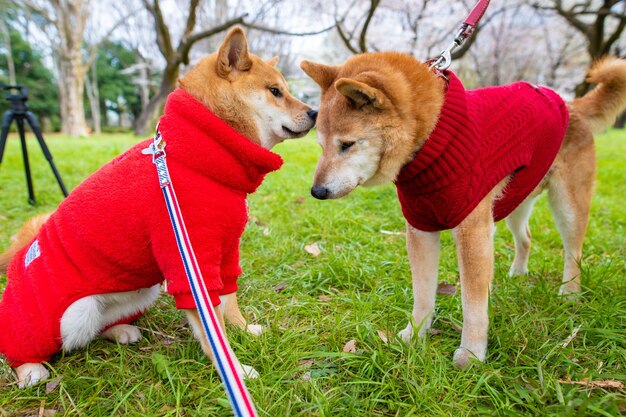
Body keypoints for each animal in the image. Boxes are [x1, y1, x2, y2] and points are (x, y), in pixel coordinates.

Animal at [0, 27, 314, 388]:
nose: (316, 112)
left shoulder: (224, 252)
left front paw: (244, 329)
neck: (196, 155)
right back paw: (28, 368)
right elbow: (213, 330)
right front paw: (234, 369)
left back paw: (120, 330)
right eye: (275, 91)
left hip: (138, 292)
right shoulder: (190, 264)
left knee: (96, 329)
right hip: (64, 315)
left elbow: (230, 301)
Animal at [302, 52, 624, 368]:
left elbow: (473, 303)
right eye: (320, 145)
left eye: (347, 145)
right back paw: (518, 274)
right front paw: (415, 335)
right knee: (526, 239)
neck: (433, 139)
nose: (316, 192)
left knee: (573, 252)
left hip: (567, 205)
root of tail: (570, 105)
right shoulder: (420, 227)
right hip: (515, 200)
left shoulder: (472, 231)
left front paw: (471, 353)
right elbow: (423, 294)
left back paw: (569, 292)